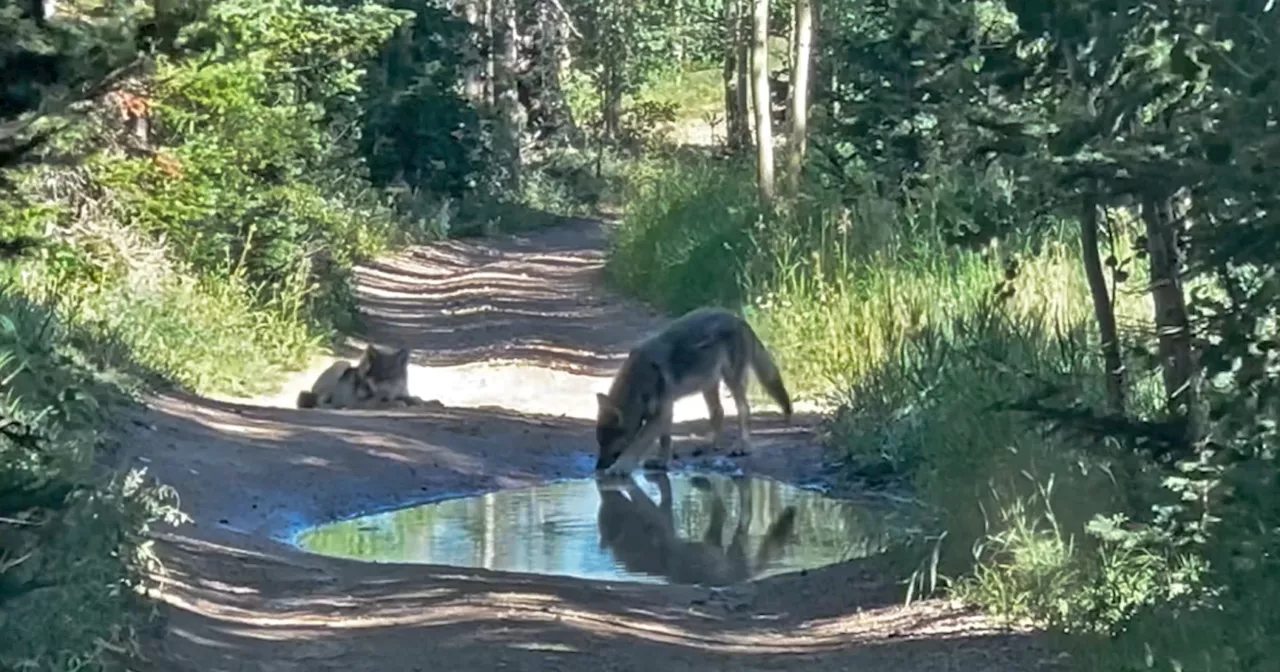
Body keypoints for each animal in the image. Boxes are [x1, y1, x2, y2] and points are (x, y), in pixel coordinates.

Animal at [596, 305, 788, 473]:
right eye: (600, 443)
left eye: (607, 443)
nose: (597, 468)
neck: (639, 382)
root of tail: (738, 319)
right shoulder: (665, 412)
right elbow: (665, 440)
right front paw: (663, 462)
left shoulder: (661, 413)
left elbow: (636, 445)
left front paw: (619, 468)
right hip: (708, 384)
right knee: (718, 412)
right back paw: (708, 445)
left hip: (732, 381)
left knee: (744, 410)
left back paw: (742, 447)